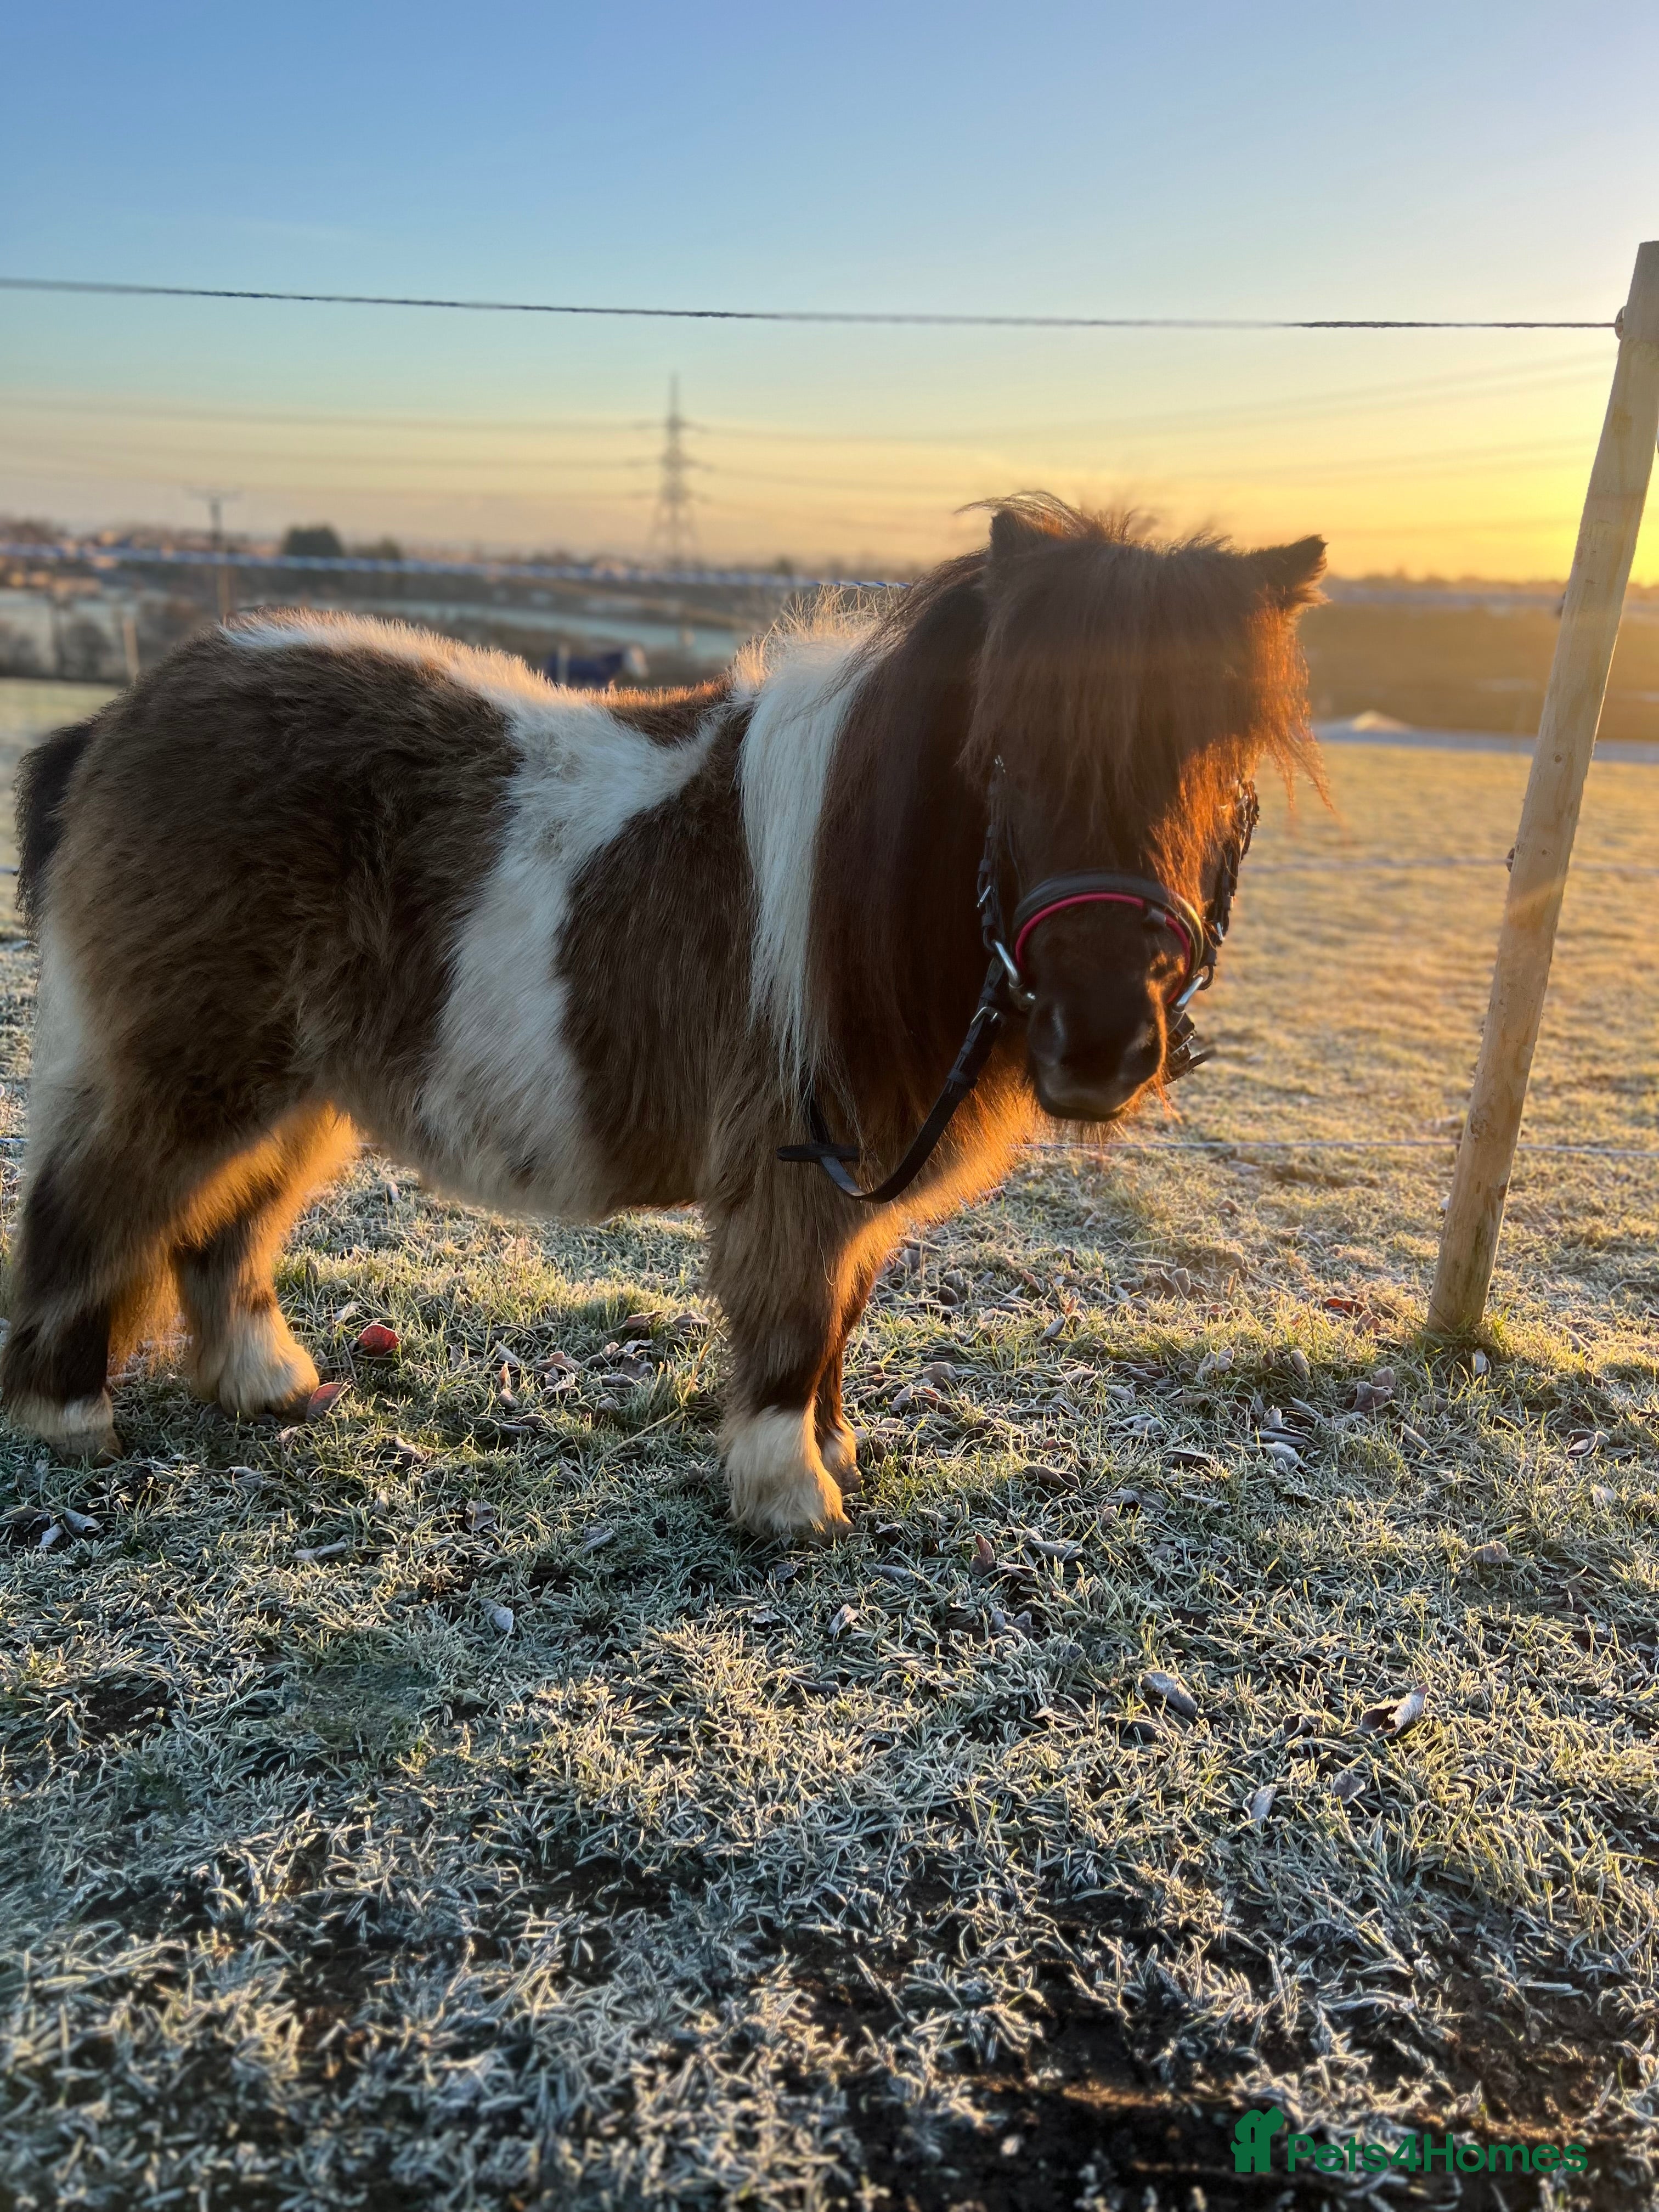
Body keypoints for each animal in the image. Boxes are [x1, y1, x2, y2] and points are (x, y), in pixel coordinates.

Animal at [1, 496, 1323, 1539]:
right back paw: (68, 1414)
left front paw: (832, 1452)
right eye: (1010, 755)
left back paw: (263, 1382)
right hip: (188, 1068)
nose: (1102, 1042)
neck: (858, 874)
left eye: (1227, 764)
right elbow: (793, 1317)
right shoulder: (793, 1158)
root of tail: (120, 716)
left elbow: (840, 1314)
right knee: (96, 1208)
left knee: (220, 1226)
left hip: (294, 1085)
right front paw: (789, 1494)